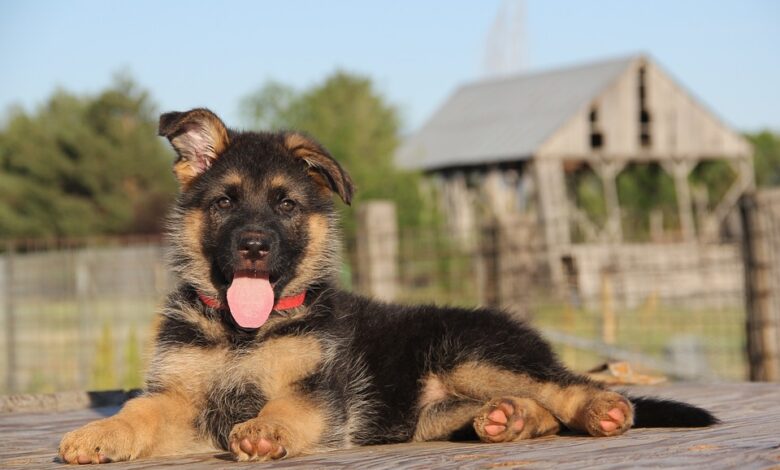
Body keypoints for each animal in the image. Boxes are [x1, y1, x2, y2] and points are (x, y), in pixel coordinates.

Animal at [59, 109, 720, 462]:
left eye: (286, 205)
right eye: (224, 202)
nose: (254, 246)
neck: (242, 332)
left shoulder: (317, 390)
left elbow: (286, 405)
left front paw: (266, 429)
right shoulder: (179, 397)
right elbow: (138, 411)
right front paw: (97, 434)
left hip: (473, 353)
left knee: (567, 385)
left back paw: (602, 409)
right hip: (432, 410)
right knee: (534, 409)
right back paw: (509, 421)